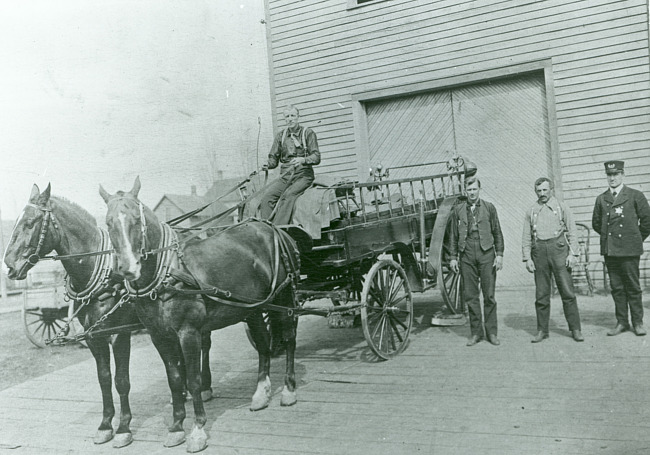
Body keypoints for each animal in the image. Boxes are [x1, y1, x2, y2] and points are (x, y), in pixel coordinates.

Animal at [1, 185, 139, 448]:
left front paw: (124, 428)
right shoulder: (94, 337)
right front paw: (105, 425)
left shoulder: (119, 334)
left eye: (30, 223)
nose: (9, 265)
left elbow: (122, 380)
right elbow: (104, 379)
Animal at [98, 177, 298, 452]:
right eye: (109, 223)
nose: (128, 269)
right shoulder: (159, 336)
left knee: (288, 338)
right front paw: (175, 427)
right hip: (254, 308)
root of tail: (272, 228)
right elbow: (174, 379)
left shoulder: (188, 333)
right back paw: (261, 393)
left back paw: (289, 390)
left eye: (136, 220)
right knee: (263, 344)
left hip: (284, 298)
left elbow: (192, 380)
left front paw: (197, 430)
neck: (168, 270)